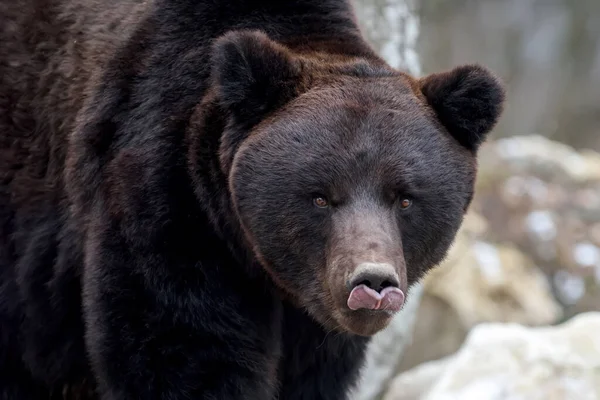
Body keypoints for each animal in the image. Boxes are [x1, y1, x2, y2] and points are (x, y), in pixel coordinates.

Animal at [0, 0, 506, 398]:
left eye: (404, 198)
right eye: (320, 197)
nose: (373, 282)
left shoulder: (316, 324)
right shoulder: (167, 204)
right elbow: (183, 351)